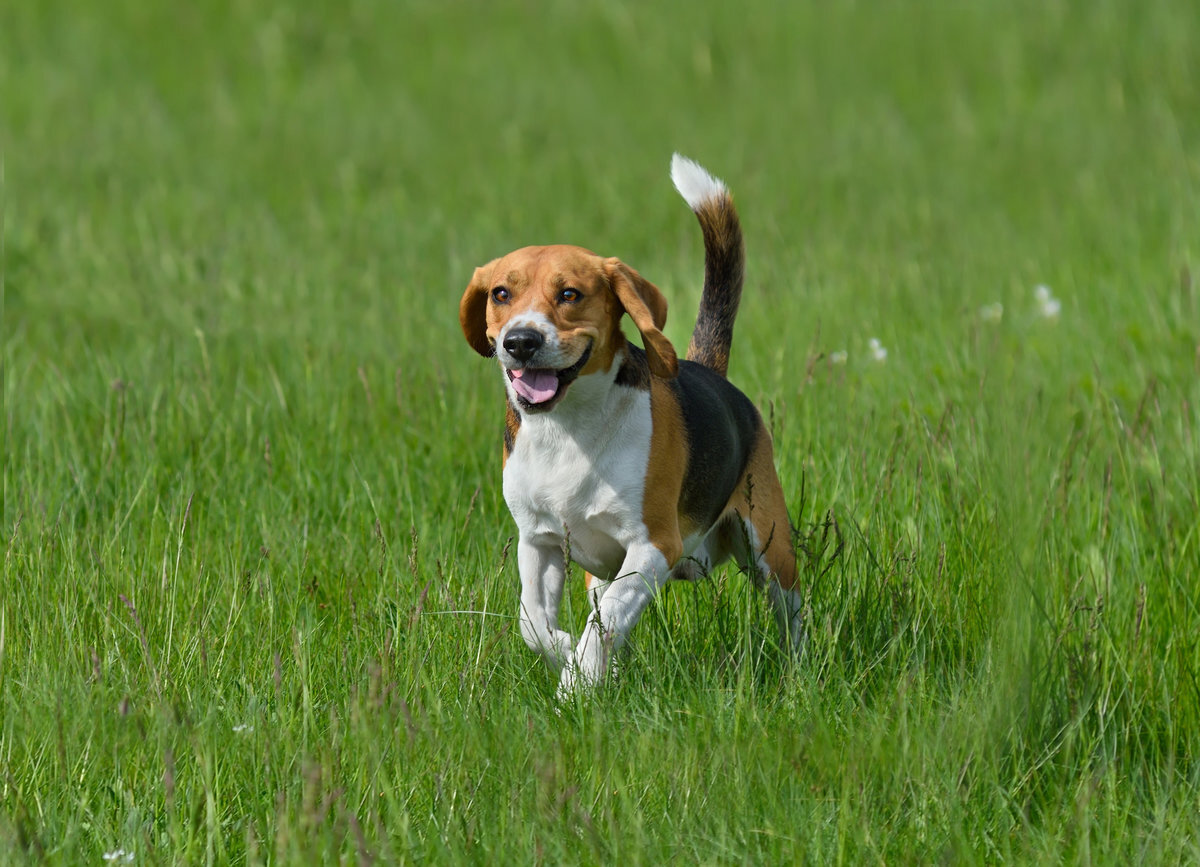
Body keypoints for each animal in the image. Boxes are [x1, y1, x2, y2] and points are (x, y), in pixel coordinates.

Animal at [458, 154, 806, 691]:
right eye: (500, 293)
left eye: (570, 294)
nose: (520, 341)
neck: (568, 429)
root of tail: (709, 370)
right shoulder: (537, 541)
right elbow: (534, 622)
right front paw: (571, 656)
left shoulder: (653, 545)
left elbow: (606, 621)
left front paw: (576, 682)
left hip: (770, 547)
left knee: (792, 617)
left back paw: (802, 674)